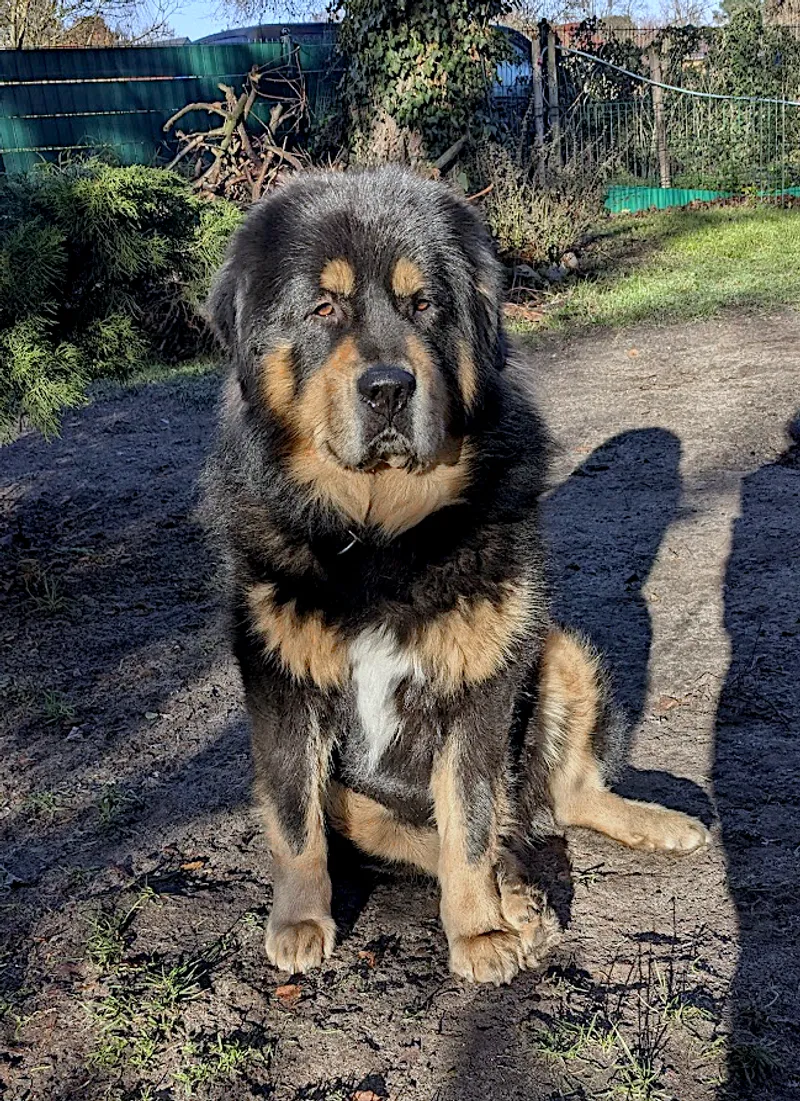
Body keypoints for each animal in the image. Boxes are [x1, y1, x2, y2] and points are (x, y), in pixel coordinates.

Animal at [202, 167, 710, 986]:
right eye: (323, 307)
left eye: (424, 305)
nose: (387, 388)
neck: (379, 536)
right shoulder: (281, 678)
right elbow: (293, 818)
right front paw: (300, 921)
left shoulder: (480, 683)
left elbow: (467, 821)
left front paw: (479, 931)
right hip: (370, 790)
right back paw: (523, 893)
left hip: (557, 645)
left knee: (559, 797)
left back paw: (640, 833)